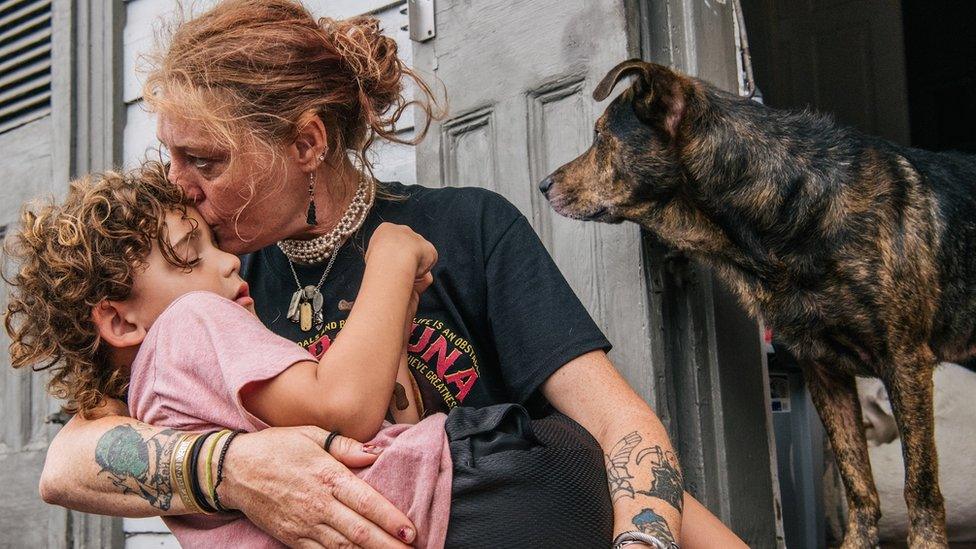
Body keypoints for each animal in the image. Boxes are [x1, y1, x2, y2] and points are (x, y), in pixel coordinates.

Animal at [540, 57, 976, 544]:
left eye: (600, 137)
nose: (542, 184)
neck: (788, 207)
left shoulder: (905, 362)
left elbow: (919, 485)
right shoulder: (824, 371)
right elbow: (859, 484)